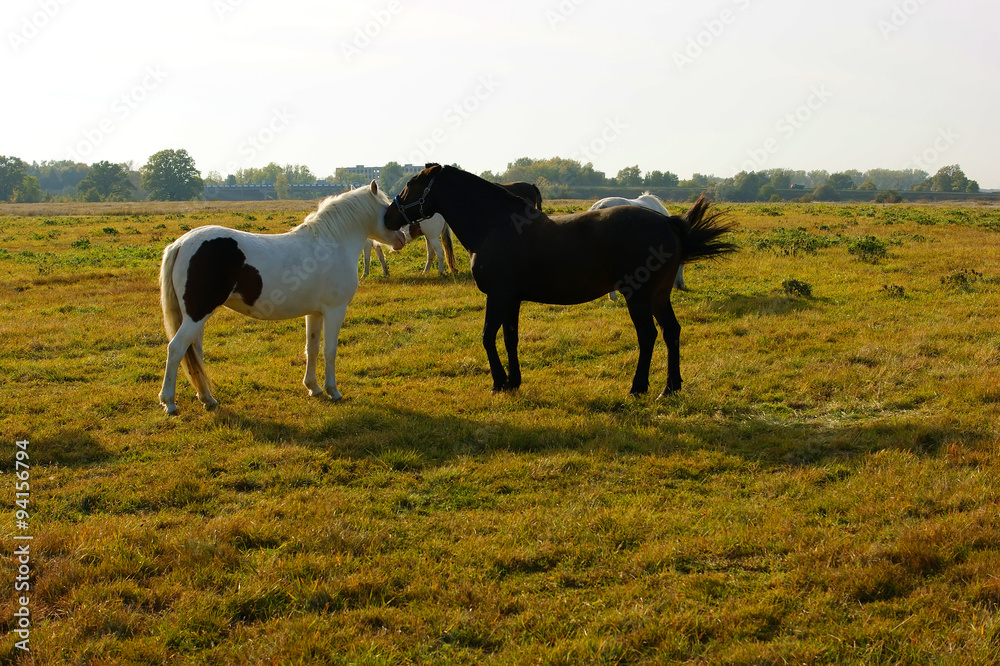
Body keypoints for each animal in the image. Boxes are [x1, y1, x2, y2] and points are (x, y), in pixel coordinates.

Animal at [158, 181, 406, 415]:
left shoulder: (315, 313)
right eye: (387, 208)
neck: (331, 244)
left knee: (194, 354)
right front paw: (333, 390)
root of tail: (181, 243)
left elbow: (312, 348)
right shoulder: (335, 310)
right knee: (176, 349)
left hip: (196, 318)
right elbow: (330, 350)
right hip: (197, 315)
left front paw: (313, 387)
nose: (402, 238)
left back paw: (207, 398)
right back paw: (169, 402)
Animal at [384, 164, 735, 398]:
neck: (496, 225)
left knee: (648, 335)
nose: (388, 217)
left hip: (639, 296)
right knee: (671, 332)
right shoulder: (512, 298)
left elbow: (487, 336)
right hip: (660, 295)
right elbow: (510, 338)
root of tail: (668, 223)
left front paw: (498, 382)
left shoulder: (497, 296)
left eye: (412, 183)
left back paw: (638, 388)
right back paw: (670, 388)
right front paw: (513, 381)